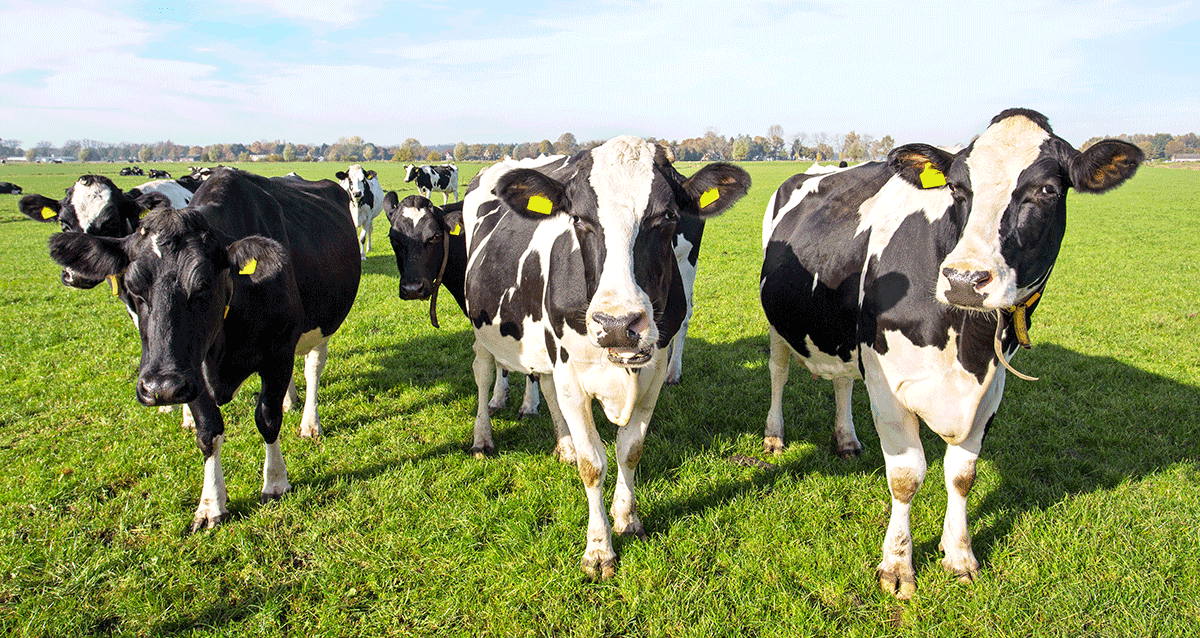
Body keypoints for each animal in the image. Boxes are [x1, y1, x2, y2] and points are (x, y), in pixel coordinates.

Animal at [43, 166, 360, 530]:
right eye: (133, 288)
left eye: (204, 284)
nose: (159, 388)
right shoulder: (189, 371)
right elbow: (209, 432)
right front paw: (211, 505)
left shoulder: (277, 352)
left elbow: (268, 417)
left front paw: (276, 482)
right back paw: (289, 400)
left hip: (322, 325)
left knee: (312, 369)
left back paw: (310, 422)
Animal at [460, 134, 748, 578]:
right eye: (579, 219)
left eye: (668, 216)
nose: (617, 324)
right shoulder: (572, 376)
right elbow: (593, 463)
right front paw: (599, 549)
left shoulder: (653, 374)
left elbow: (629, 450)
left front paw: (627, 518)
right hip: (481, 328)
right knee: (482, 372)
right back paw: (483, 436)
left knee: (544, 383)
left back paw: (563, 444)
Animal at [758, 108, 1142, 597]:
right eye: (958, 189)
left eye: (1047, 190)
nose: (964, 280)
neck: (967, 344)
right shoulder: (887, 384)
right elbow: (906, 478)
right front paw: (897, 566)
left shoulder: (991, 388)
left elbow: (962, 475)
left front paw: (959, 555)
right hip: (778, 324)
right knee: (778, 372)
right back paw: (774, 435)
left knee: (843, 381)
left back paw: (846, 439)